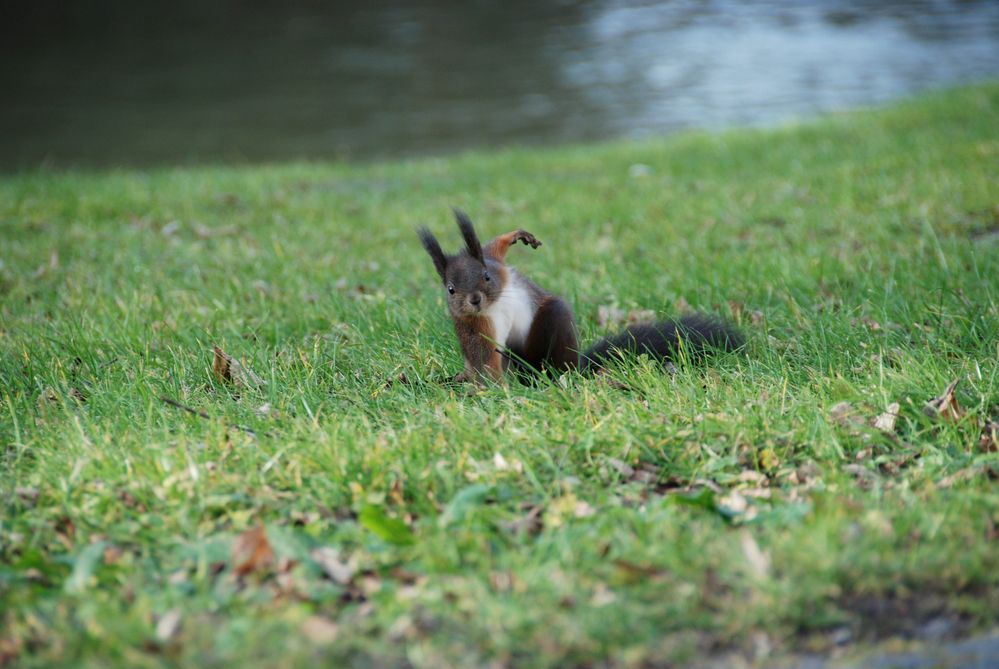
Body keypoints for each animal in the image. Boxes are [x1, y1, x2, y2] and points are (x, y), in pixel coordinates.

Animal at [416, 211, 744, 384]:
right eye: (450, 289)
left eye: (486, 276)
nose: (474, 300)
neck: (496, 301)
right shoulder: (476, 329)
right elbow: (485, 363)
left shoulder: (495, 261)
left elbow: (495, 244)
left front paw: (517, 235)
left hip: (553, 329)